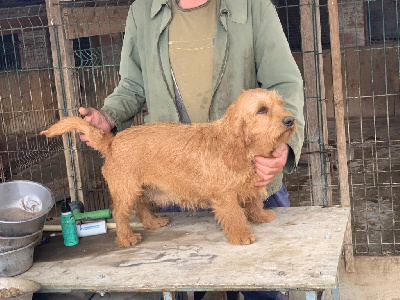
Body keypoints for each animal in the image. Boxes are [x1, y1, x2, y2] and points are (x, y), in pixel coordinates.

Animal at [42, 88, 296, 246]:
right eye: (262, 110)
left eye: (281, 104)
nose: (290, 120)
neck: (239, 146)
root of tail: (112, 141)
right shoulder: (225, 196)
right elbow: (234, 215)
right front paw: (242, 235)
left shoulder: (248, 185)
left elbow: (253, 201)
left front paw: (260, 216)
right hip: (126, 190)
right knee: (120, 213)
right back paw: (126, 238)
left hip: (141, 188)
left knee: (140, 206)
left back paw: (152, 223)